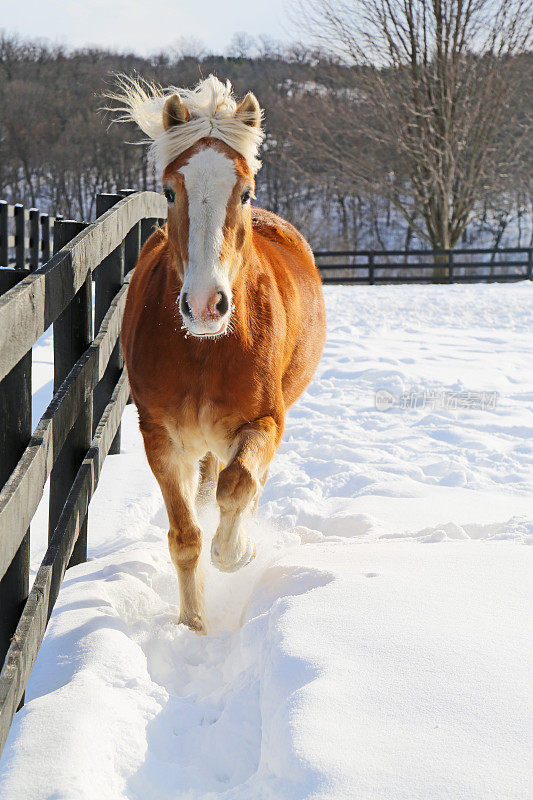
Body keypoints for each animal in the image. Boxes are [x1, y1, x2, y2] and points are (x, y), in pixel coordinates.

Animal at [114, 78, 326, 636]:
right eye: (170, 190)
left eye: (245, 190)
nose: (206, 304)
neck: (205, 353)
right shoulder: (161, 436)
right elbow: (186, 536)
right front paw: (192, 624)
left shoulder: (264, 422)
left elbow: (239, 485)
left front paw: (239, 551)